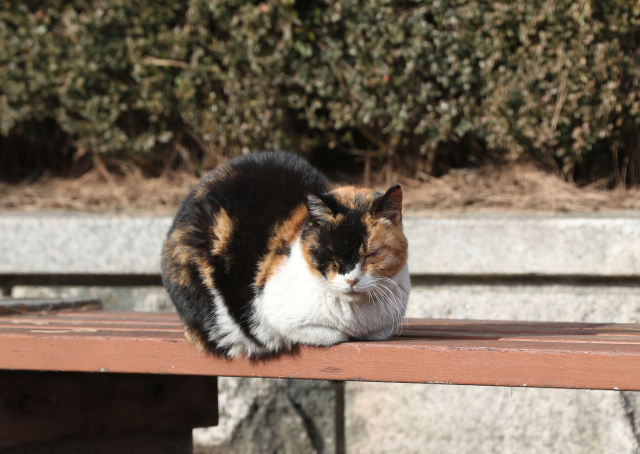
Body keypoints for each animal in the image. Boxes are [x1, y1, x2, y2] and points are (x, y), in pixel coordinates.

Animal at [160, 153, 410, 358]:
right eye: (330, 253)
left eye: (372, 254)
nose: (351, 280)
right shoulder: (274, 315)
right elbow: (328, 334)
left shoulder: (384, 326)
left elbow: (376, 332)